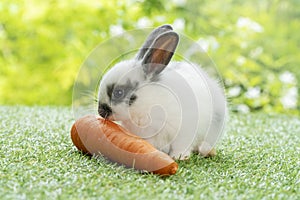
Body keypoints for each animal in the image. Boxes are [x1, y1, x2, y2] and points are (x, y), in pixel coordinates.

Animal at [97, 24, 226, 159]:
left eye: (119, 92)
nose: (100, 111)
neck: (147, 105)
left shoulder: (185, 130)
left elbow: (181, 145)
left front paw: (178, 157)